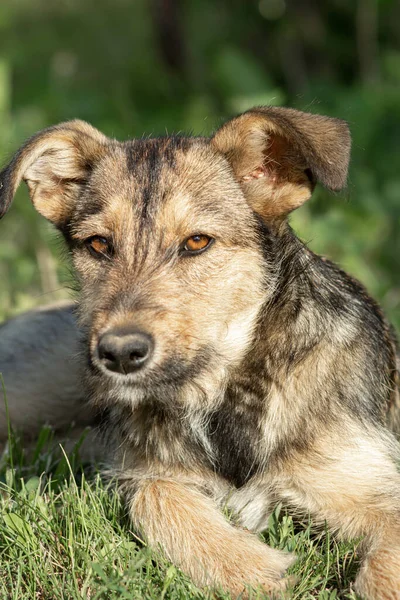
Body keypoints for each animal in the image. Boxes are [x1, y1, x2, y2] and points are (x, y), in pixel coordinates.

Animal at [0, 109, 400, 600]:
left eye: (196, 242)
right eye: (97, 245)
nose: (119, 354)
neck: (225, 394)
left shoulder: (366, 480)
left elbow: (385, 566)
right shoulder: (139, 470)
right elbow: (154, 496)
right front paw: (252, 568)